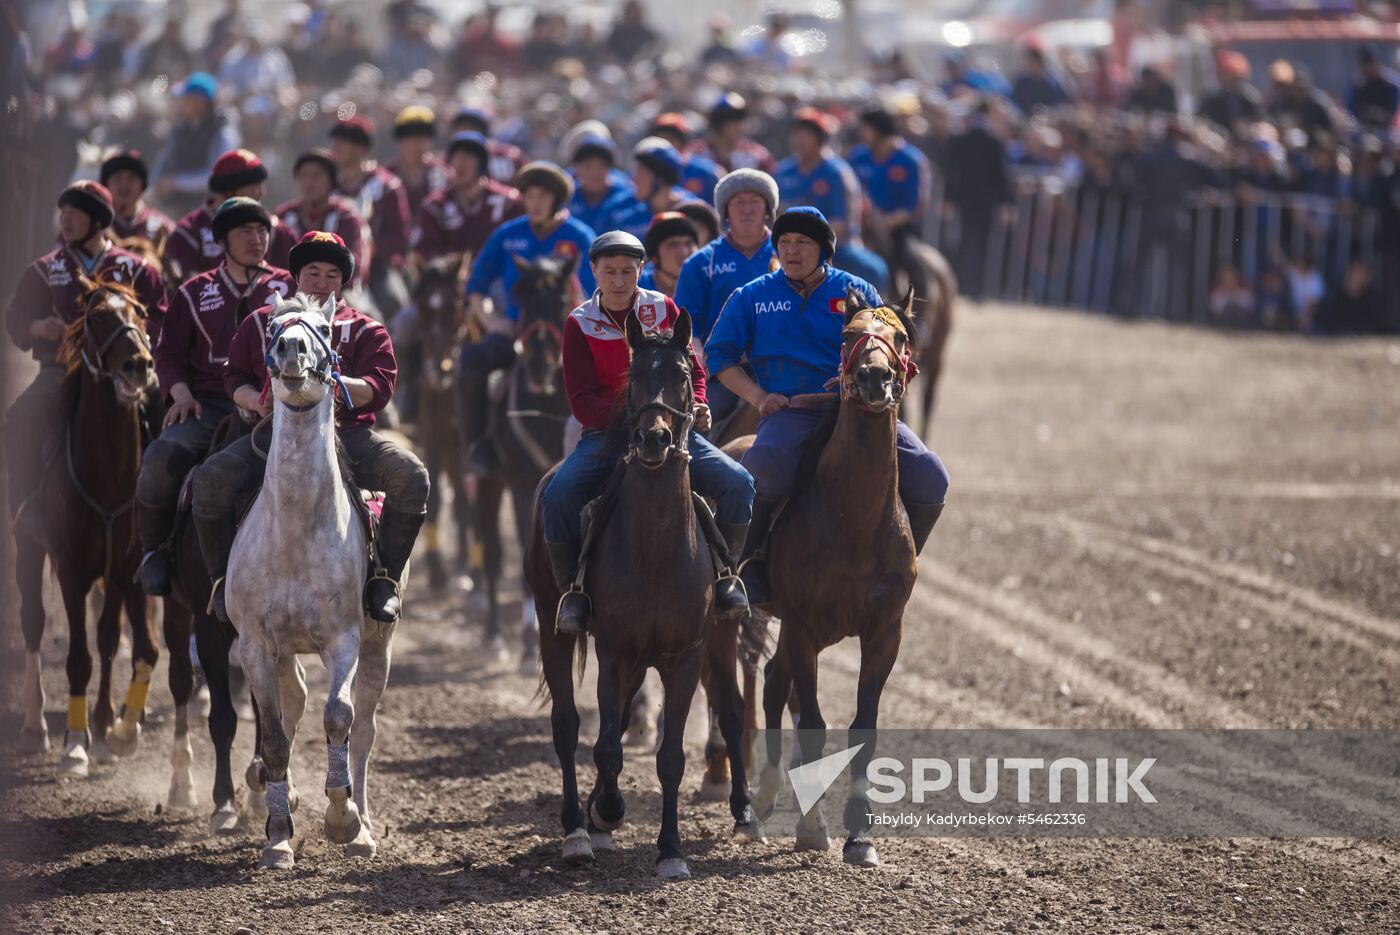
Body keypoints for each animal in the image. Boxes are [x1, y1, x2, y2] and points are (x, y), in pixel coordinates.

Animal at [16, 279, 161, 772]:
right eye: (97, 317)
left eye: (141, 312)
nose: (139, 364)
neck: (111, 476)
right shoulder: (72, 569)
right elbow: (78, 655)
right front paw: (76, 741)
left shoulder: (127, 570)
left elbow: (118, 642)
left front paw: (111, 726)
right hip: (27, 547)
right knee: (33, 622)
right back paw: (35, 726)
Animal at [226, 292, 397, 867]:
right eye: (271, 327)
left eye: (325, 327)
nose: (291, 350)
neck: (297, 530)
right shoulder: (256, 645)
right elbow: (276, 738)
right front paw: (278, 835)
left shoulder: (343, 640)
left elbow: (338, 717)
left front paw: (342, 819)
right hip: (280, 652)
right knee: (294, 702)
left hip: (378, 645)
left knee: (363, 728)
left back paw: (363, 823)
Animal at [750, 286, 924, 867]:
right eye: (848, 335)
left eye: (901, 336)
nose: (874, 378)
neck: (853, 517)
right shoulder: (803, 625)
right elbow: (813, 724)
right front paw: (812, 828)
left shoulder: (884, 630)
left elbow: (862, 728)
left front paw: (860, 835)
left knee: (773, 682)